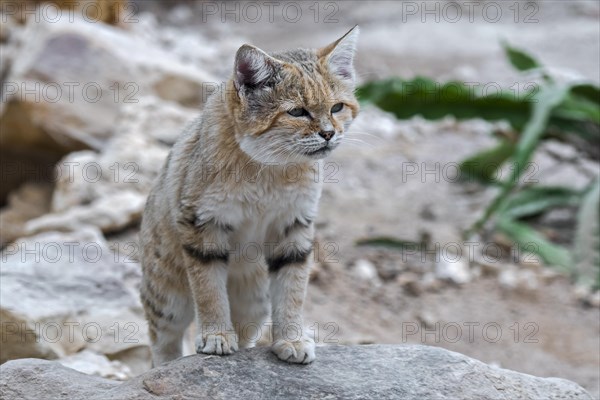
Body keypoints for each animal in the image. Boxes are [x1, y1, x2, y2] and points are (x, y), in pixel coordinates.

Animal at [139, 25, 360, 366]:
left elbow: (293, 289)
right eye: (297, 111)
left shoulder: (294, 226)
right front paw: (216, 335)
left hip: (255, 301)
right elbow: (209, 289)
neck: (271, 169)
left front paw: (291, 339)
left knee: (245, 334)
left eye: (337, 107)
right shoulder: (202, 225)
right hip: (166, 295)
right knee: (163, 344)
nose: (329, 133)